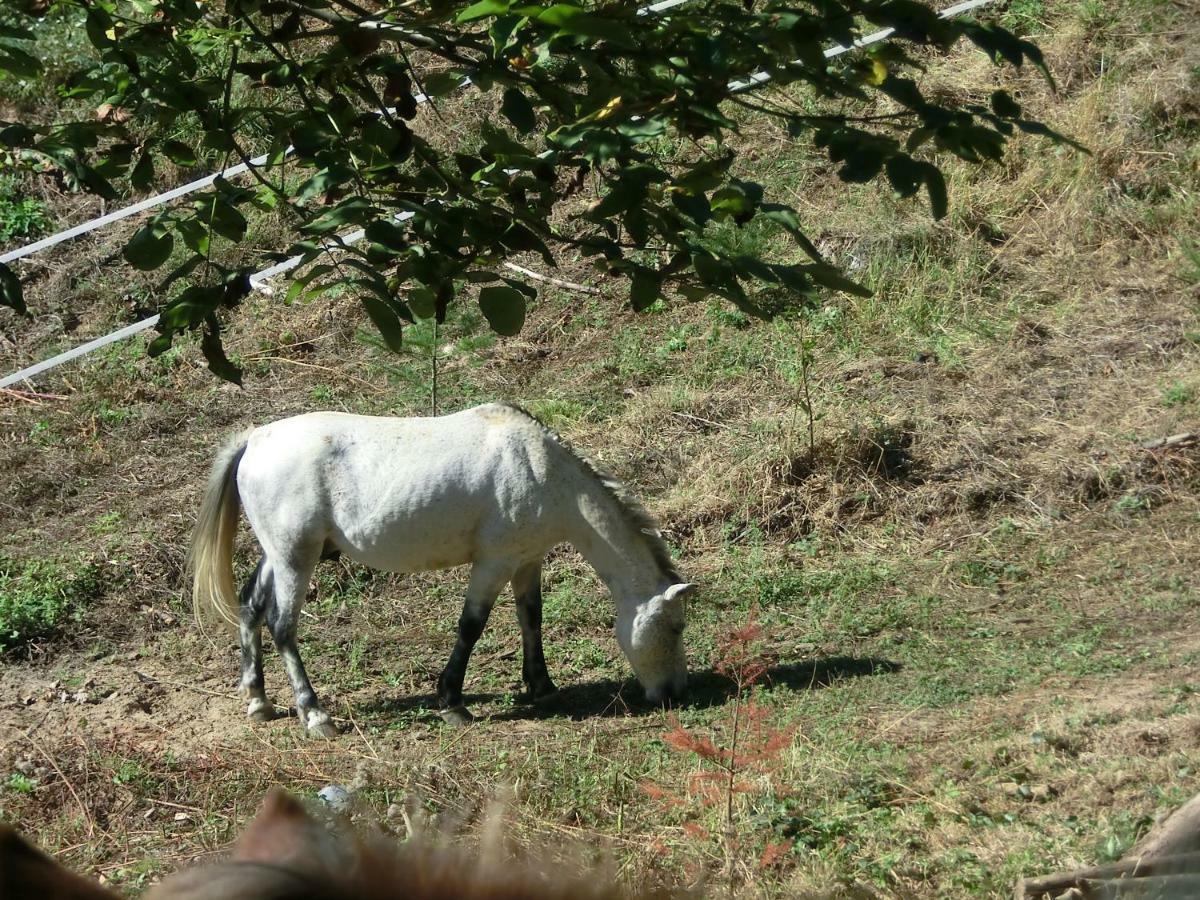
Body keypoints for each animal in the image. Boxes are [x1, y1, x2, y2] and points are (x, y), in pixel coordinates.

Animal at [188, 405, 696, 734]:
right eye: (676, 627)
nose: (674, 693)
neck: (539, 469)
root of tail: (255, 439)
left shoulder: (526, 561)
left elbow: (531, 619)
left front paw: (541, 685)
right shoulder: (493, 563)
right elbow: (471, 626)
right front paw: (452, 702)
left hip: (277, 555)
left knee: (251, 609)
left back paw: (259, 701)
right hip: (297, 557)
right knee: (282, 626)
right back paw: (314, 714)